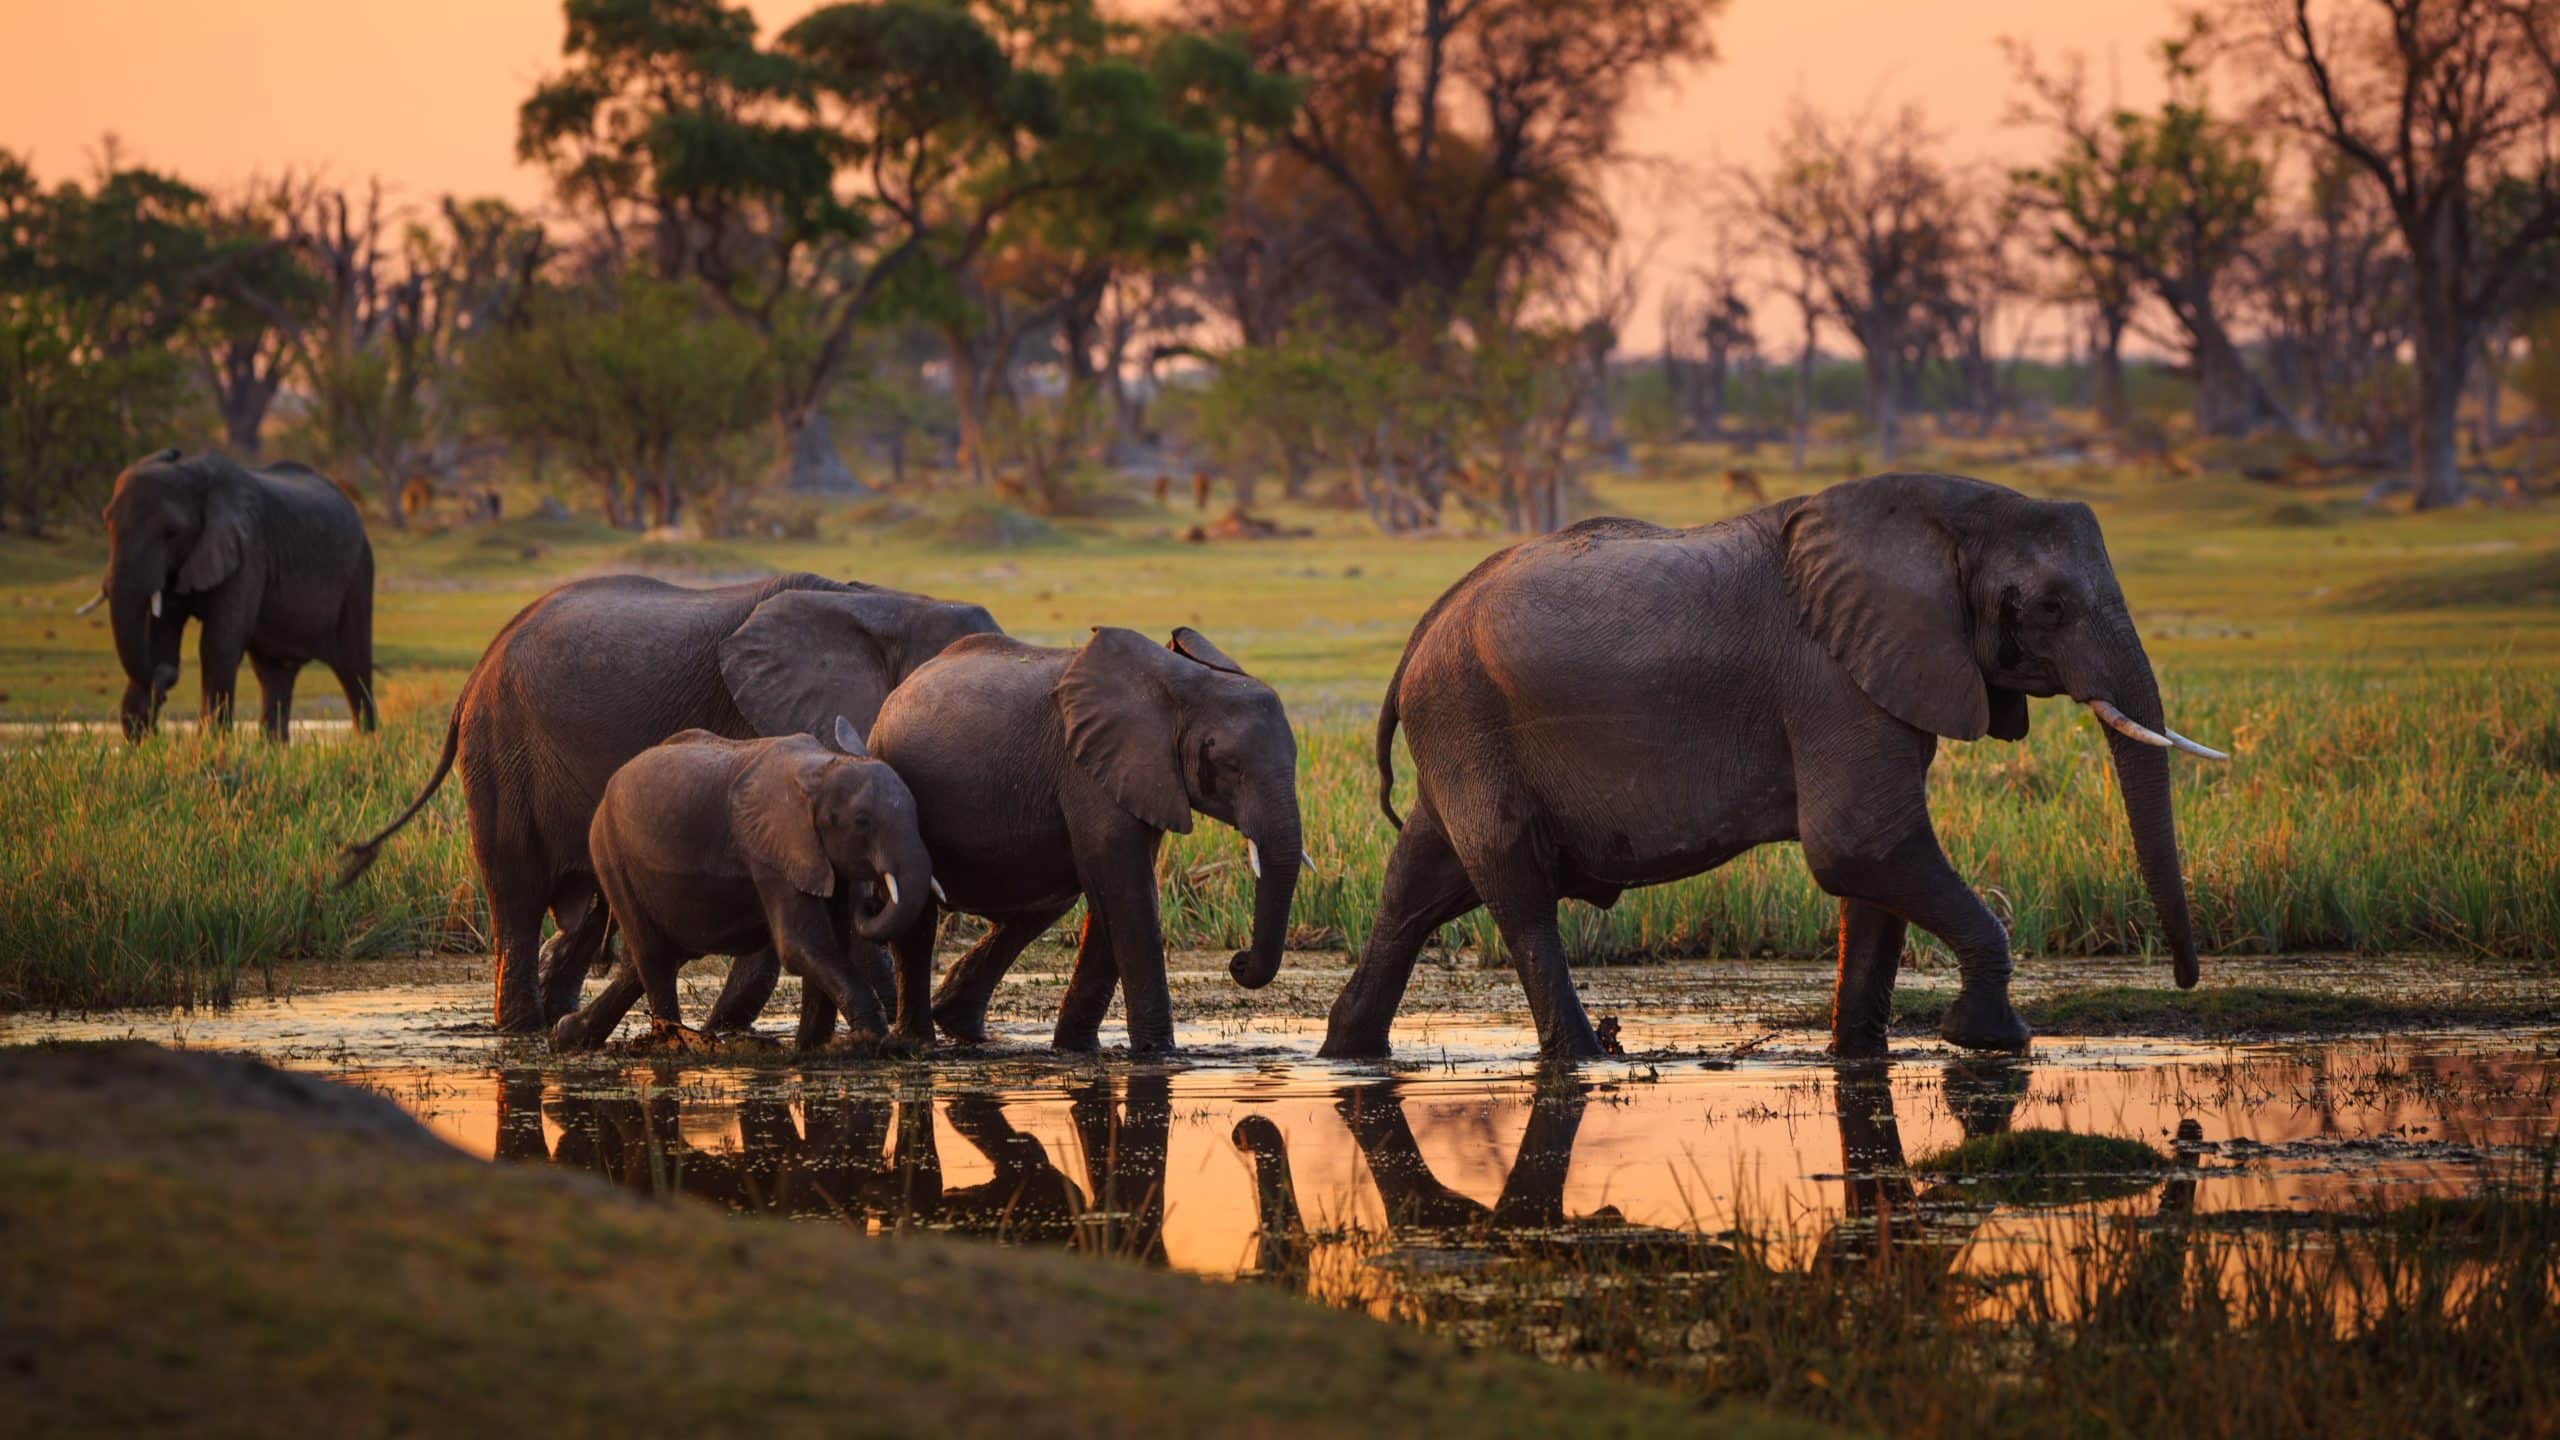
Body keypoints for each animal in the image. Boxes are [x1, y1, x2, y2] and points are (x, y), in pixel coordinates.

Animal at [89, 448, 376, 737]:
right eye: (107, 525)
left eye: (171, 533)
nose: (167, 678)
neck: (194, 471)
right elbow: (160, 639)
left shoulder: (247, 553)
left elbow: (218, 645)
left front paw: (209, 744)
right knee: (275, 674)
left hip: (359, 574)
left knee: (354, 670)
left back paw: (366, 742)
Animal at [545, 722, 936, 1050]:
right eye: (862, 821)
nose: (873, 899)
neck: (823, 768)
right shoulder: (770, 853)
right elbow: (801, 944)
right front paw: (871, 1039)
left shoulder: (818, 858)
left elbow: (831, 943)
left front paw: (812, 1047)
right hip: (610, 854)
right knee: (654, 957)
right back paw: (671, 1043)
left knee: (648, 962)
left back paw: (566, 1036)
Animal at [696, 622, 1300, 1050]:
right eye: (1229, 764)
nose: (1238, 962)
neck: (1179, 682)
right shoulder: (1088, 767)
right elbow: (1126, 891)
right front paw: (1160, 1056)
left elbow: (1116, 891)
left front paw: (1077, 1052)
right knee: (921, 916)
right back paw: (920, 1041)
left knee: (1047, 901)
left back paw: (959, 1026)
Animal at [1320, 468, 2222, 1055]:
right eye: (2050, 607)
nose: (2185, 980)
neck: (1945, 517)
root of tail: (1422, 630)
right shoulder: (1831, 678)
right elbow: (1860, 843)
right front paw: (1990, 1040)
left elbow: (1873, 873)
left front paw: (1858, 1054)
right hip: (1467, 720)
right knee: (1518, 893)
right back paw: (1586, 1057)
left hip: (1460, 733)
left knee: (1417, 888)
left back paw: (1348, 1052)